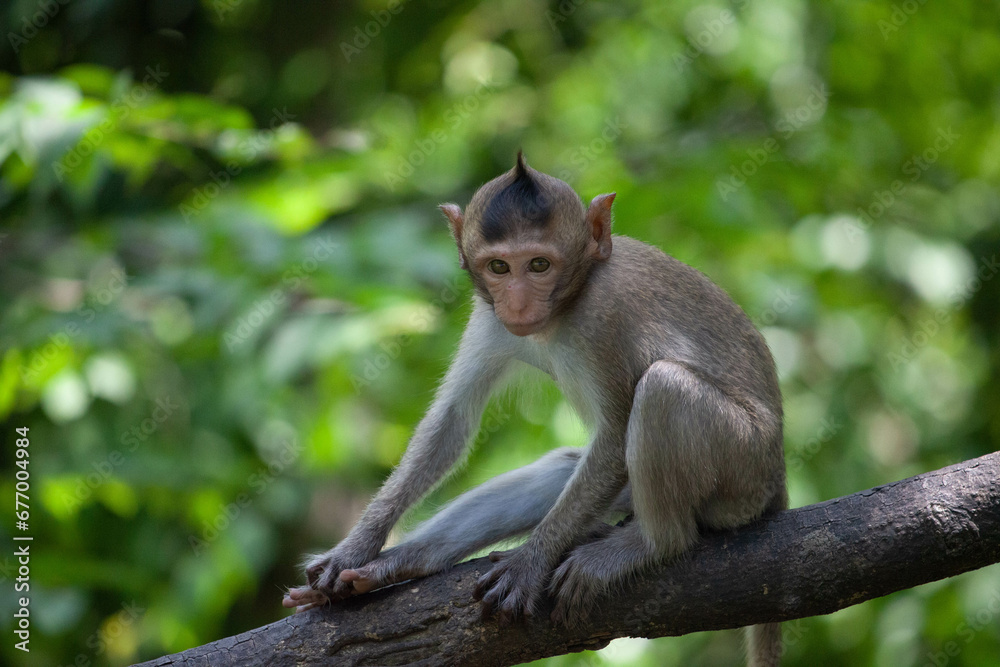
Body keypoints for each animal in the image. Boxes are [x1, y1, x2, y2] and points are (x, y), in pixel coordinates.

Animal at [284, 153, 788, 667]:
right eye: (499, 267)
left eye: (540, 264)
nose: (519, 302)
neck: (569, 300)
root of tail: (776, 476)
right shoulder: (488, 315)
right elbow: (452, 420)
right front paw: (355, 551)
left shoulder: (602, 320)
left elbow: (613, 435)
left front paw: (530, 563)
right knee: (561, 469)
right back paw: (402, 564)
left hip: (740, 467)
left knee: (663, 388)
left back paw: (649, 545)